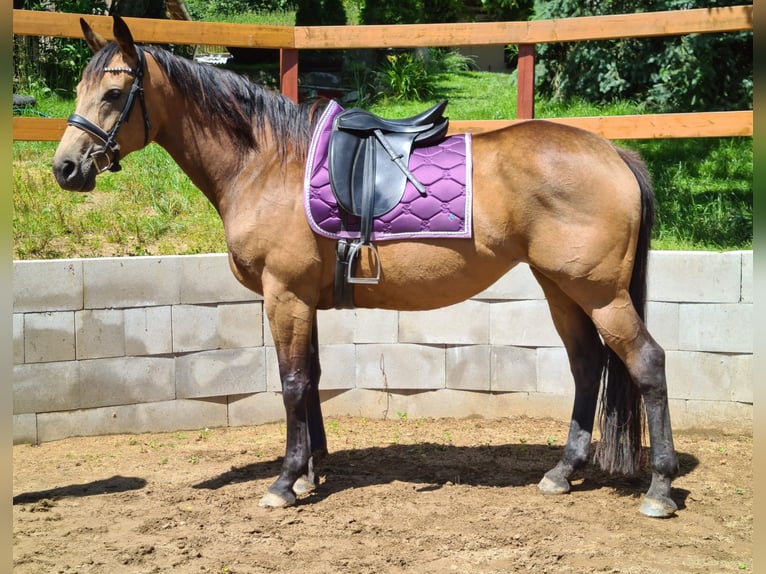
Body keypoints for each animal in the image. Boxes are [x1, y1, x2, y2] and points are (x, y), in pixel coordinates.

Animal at [52, 15, 680, 520]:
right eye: (79, 87)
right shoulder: (303, 299)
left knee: (647, 363)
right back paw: (562, 472)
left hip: (599, 293)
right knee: (587, 366)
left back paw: (659, 488)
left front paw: (285, 481)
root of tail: (613, 152)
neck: (266, 163)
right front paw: (310, 471)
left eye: (114, 92)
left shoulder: (283, 294)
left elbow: (291, 382)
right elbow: (310, 379)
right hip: (560, 288)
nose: (65, 168)